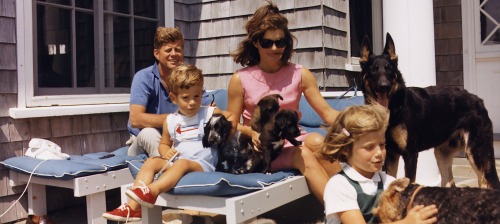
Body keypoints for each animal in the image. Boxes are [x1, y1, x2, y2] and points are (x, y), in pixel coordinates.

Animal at [360, 32, 500, 189]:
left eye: (389, 69)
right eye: (373, 69)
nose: (384, 86)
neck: (395, 108)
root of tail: (479, 100)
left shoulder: (410, 155)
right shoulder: (391, 154)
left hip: (476, 153)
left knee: (486, 182)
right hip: (442, 154)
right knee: (450, 183)